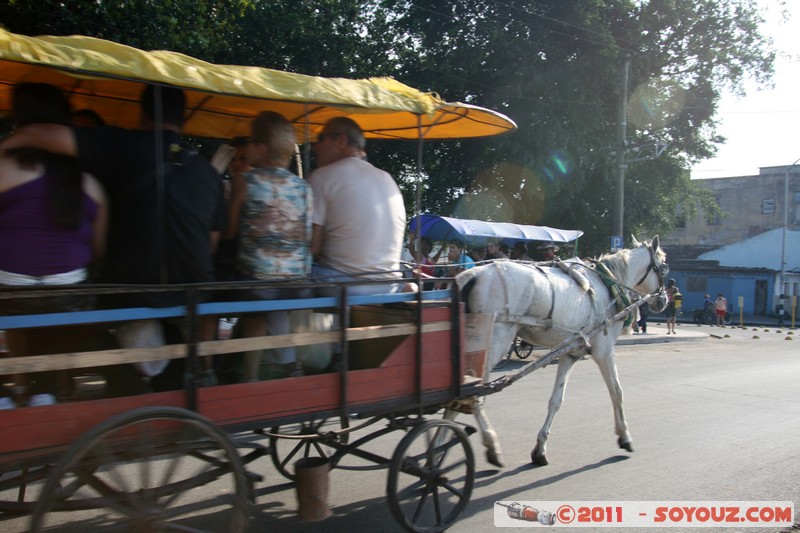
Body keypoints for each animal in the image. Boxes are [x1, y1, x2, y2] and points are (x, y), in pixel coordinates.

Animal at [450, 235, 668, 464]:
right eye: (664, 268)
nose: (663, 300)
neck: (609, 284)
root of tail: (473, 275)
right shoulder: (604, 350)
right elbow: (617, 392)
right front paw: (625, 436)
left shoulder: (570, 353)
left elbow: (556, 400)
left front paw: (540, 448)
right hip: (496, 341)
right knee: (473, 393)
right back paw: (490, 445)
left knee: (460, 392)